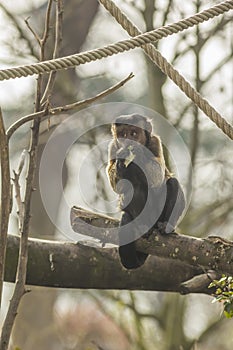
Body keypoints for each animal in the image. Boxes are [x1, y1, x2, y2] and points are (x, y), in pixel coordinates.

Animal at [106, 113, 185, 270]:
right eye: (123, 134)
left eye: (134, 133)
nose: (129, 142)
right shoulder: (112, 146)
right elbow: (115, 184)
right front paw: (122, 160)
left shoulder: (155, 141)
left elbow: (159, 173)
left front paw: (139, 153)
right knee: (133, 188)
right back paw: (142, 223)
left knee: (172, 183)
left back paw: (166, 226)